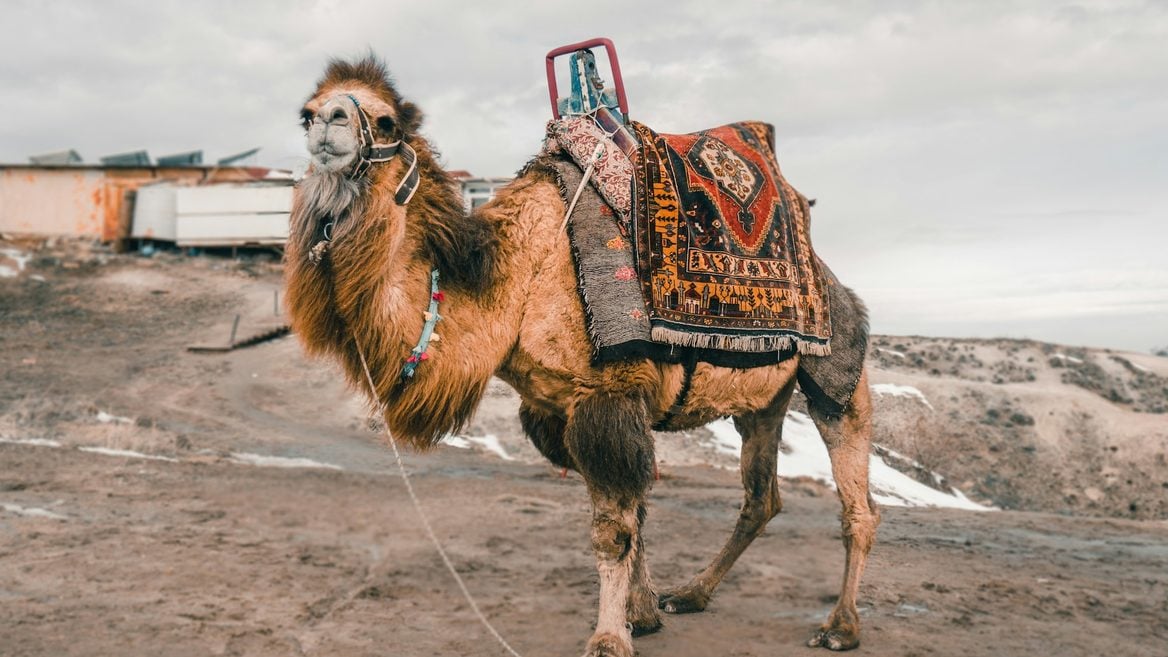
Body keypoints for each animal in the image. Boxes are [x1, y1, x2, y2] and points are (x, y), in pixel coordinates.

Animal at [287, 57, 878, 654]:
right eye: (306, 113)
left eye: (386, 121)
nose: (330, 121)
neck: (518, 277)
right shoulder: (557, 410)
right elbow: (637, 512)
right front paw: (643, 613)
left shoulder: (606, 396)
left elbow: (613, 531)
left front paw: (610, 637)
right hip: (762, 403)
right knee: (761, 498)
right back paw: (692, 593)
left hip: (839, 376)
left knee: (857, 500)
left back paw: (840, 626)